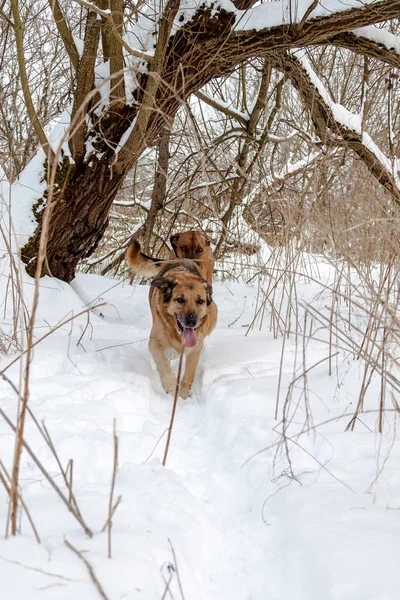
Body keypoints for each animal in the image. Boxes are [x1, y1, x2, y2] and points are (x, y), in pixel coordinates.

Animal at [147, 260, 217, 396]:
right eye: (180, 300)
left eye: (200, 301)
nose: (192, 321)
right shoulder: (154, 343)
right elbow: (163, 364)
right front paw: (171, 385)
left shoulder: (196, 348)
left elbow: (189, 373)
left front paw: (184, 394)